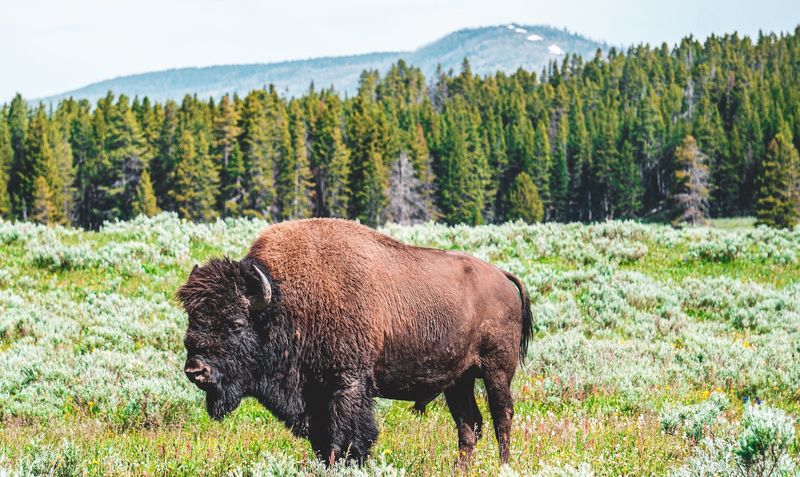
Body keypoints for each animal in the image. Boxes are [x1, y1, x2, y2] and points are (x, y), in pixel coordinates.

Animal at [180, 219, 532, 464]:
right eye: (192, 321)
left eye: (236, 323)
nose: (196, 370)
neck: (285, 302)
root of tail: (502, 276)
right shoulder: (315, 398)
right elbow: (324, 443)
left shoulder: (347, 385)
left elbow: (347, 438)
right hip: (458, 381)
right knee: (468, 425)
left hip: (496, 371)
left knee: (502, 416)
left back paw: (503, 465)